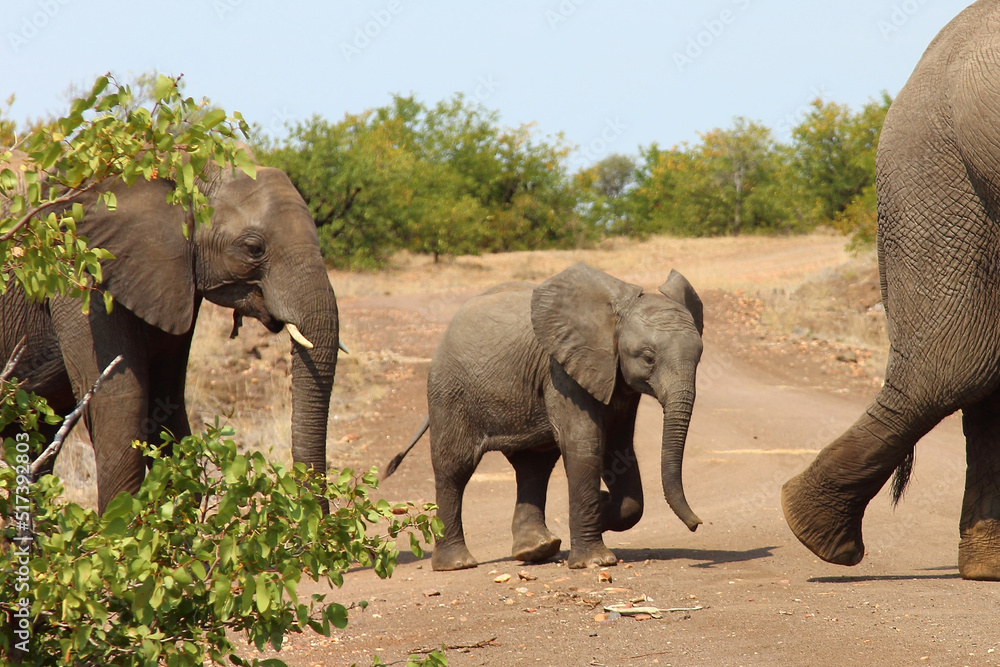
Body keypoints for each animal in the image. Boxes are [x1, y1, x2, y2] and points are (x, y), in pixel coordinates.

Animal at [384, 263, 705, 570]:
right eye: (648, 358)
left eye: (700, 356)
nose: (697, 523)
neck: (612, 315)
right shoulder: (561, 371)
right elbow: (585, 445)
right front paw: (596, 561)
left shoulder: (615, 378)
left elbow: (619, 450)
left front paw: (602, 508)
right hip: (449, 390)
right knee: (454, 467)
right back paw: (457, 564)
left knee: (533, 466)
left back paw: (537, 549)